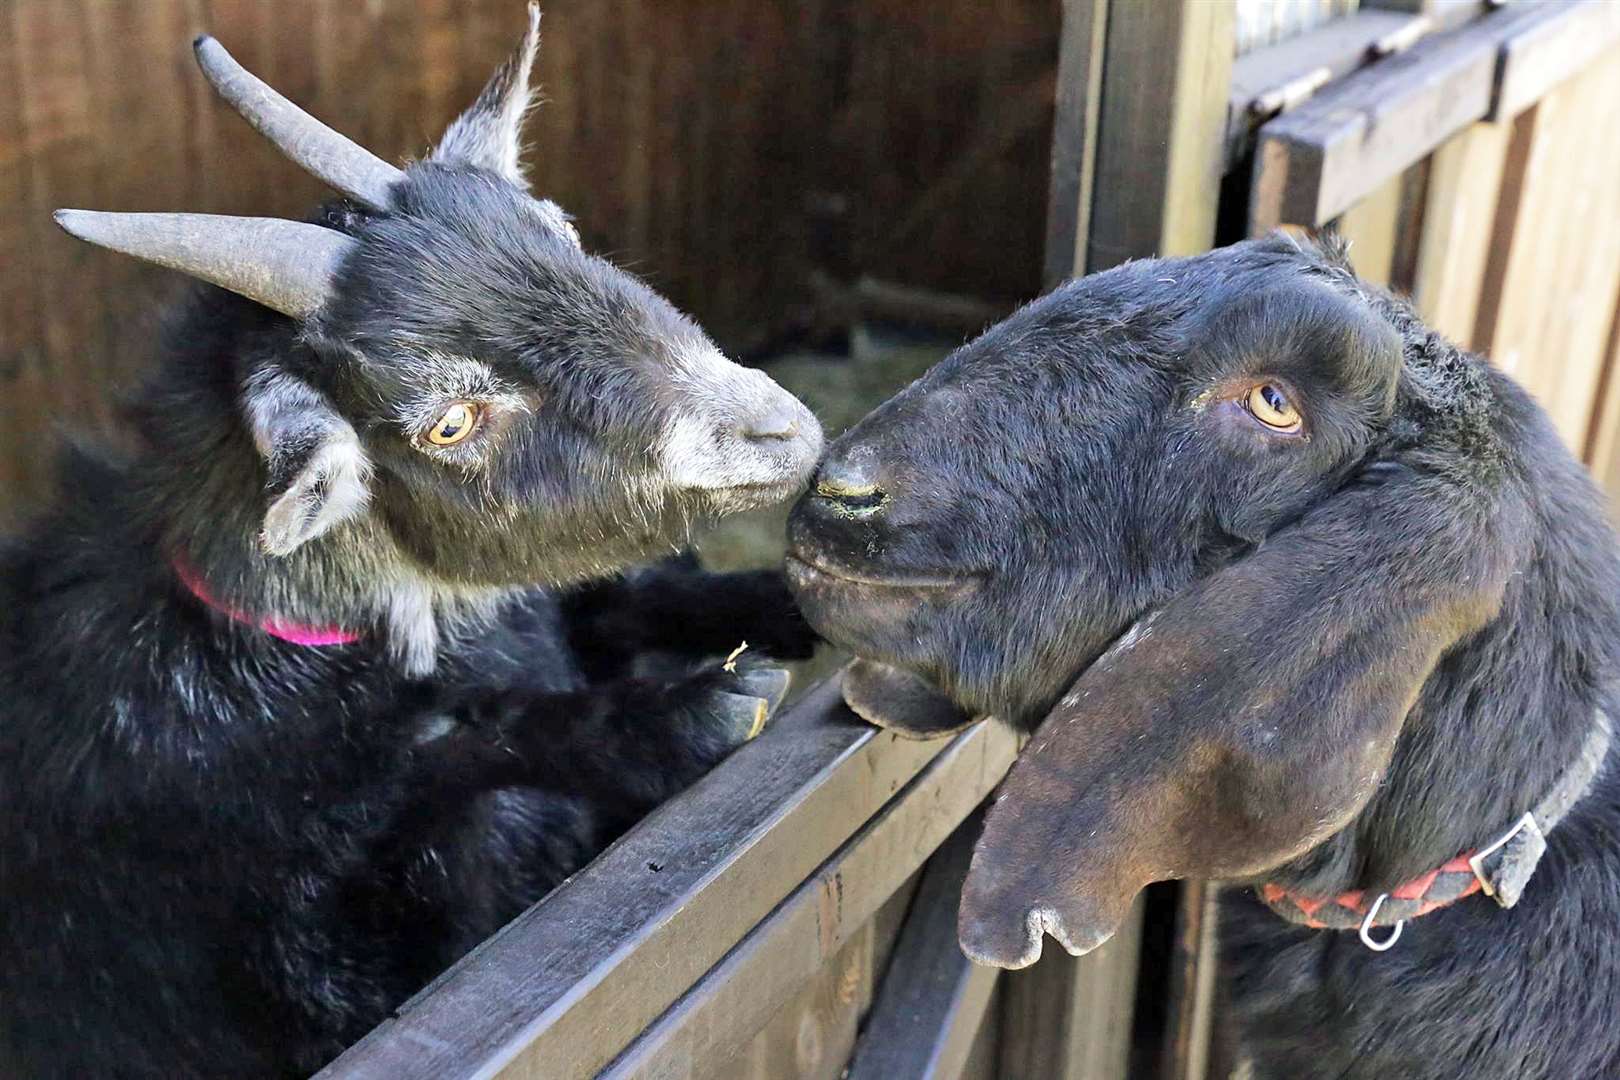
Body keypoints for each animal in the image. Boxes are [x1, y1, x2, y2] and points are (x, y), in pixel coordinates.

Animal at [0, 10, 822, 1080]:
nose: (781, 432)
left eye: (563, 236)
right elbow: (444, 759)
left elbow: (632, 597)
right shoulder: (311, 956)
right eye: (448, 422)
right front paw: (684, 712)